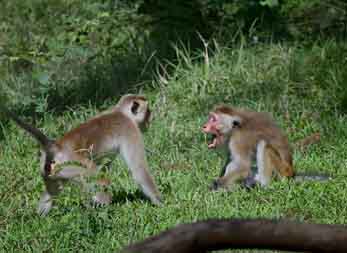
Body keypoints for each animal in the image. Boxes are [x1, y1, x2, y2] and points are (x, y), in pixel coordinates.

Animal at [0, 95, 162, 215]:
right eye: (148, 111)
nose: (151, 118)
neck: (121, 113)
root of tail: (56, 146)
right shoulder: (130, 129)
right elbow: (139, 170)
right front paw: (161, 203)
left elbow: (106, 165)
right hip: (72, 165)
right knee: (99, 180)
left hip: (49, 170)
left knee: (53, 190)